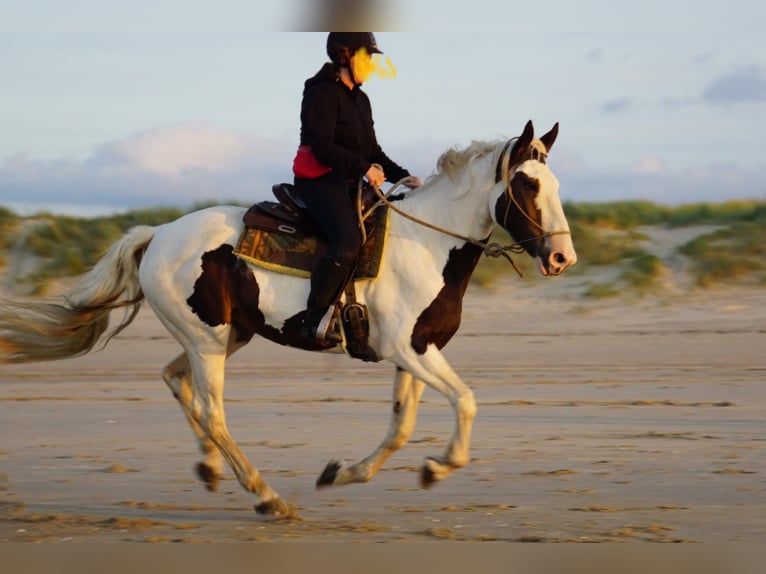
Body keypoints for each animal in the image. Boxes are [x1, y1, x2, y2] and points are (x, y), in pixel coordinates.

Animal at [0, 121, 576, 516]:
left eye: (555, 185)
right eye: (527, 186)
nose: (561, 258)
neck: (428, 242)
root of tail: (158, 234)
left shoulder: (417, 352)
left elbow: (401, 427)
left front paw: (346, 472)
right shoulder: (408, 351)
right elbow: (466, 401)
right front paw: (440, 465)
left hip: (227, 335)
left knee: (173, 378)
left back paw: (211, 467)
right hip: (209, 343)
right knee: (211, 410)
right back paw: (264, 496)